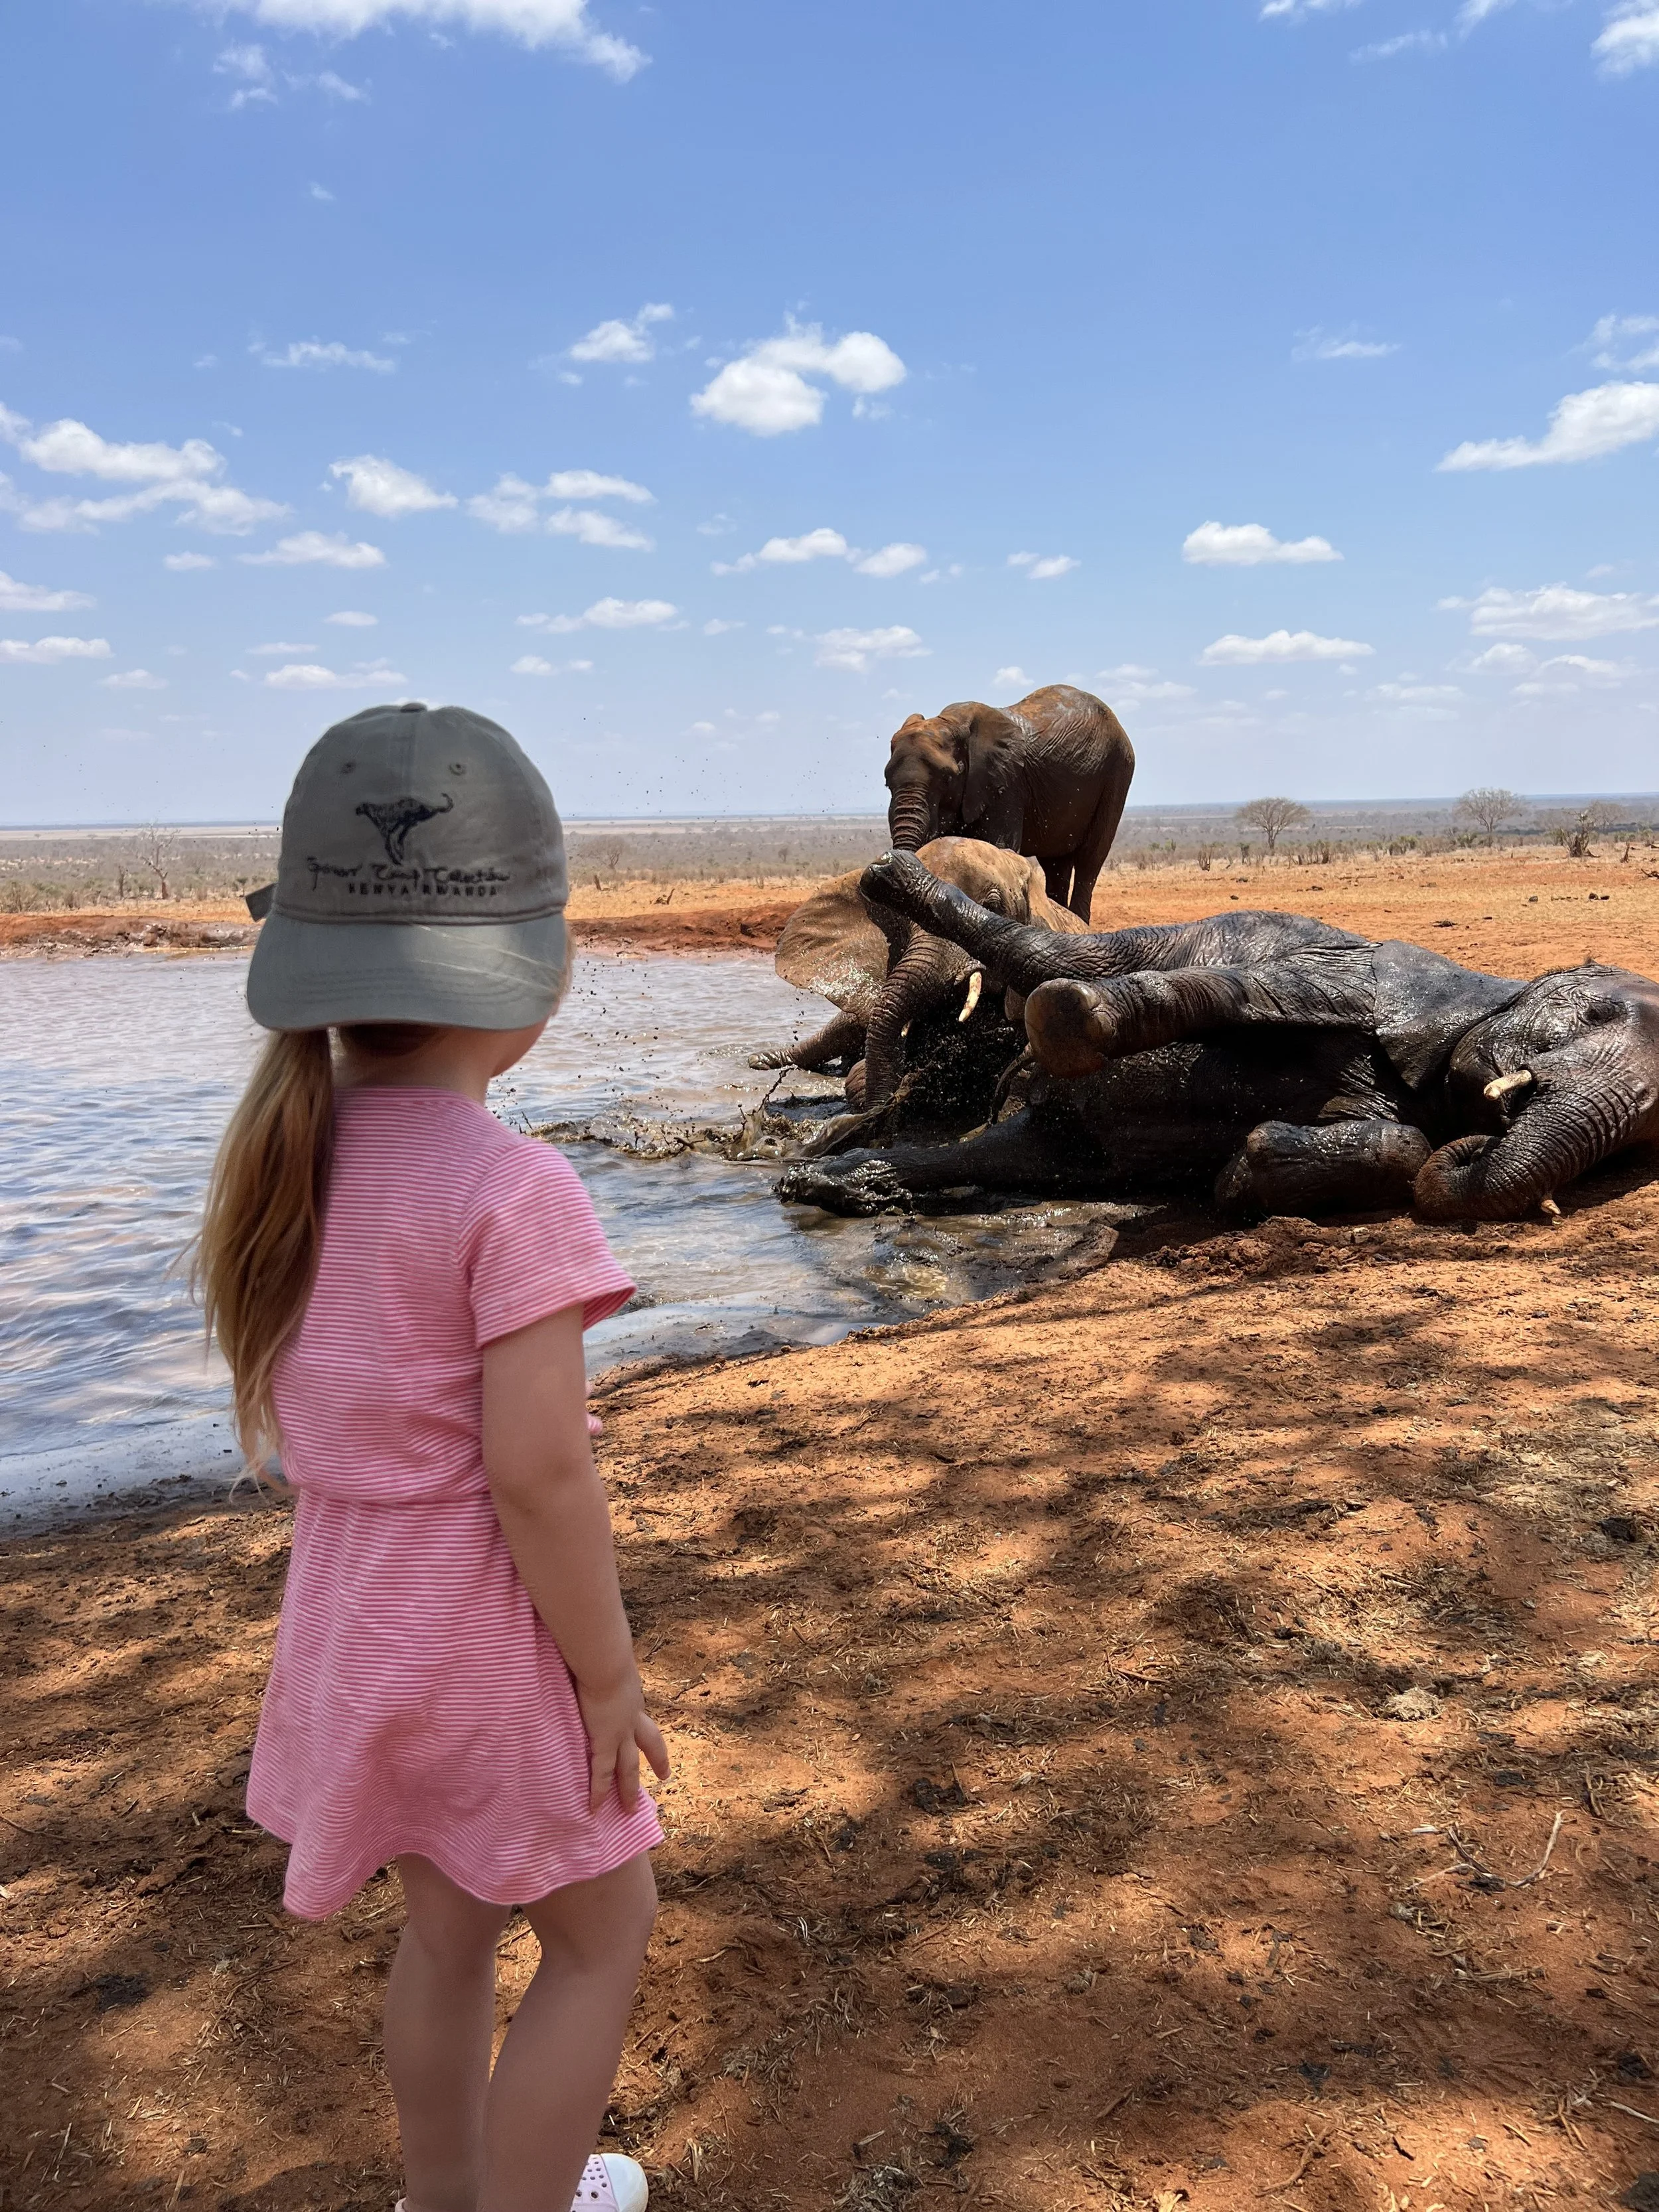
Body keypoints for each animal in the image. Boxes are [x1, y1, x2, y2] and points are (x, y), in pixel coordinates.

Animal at [777, 848, 1659, 1223]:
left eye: (1643, 1128)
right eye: (1596, 1015)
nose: (1487, 1139)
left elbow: (1404, 1147)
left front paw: (1237, 1178)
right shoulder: (1358, 976)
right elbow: (1248, 992)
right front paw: (1070, 1018)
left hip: (1051, 1149)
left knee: (996, 1155)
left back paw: (839, 1186)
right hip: (1186, 934)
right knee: (1074, 958)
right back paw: (892, 879)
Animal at [884, 684, 1134, 919]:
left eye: (948, 778)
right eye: (887, 783)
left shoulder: (1007, 786)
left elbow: (998, 845)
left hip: (1117, 773)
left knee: (1089, 860)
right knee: (1056, 865)